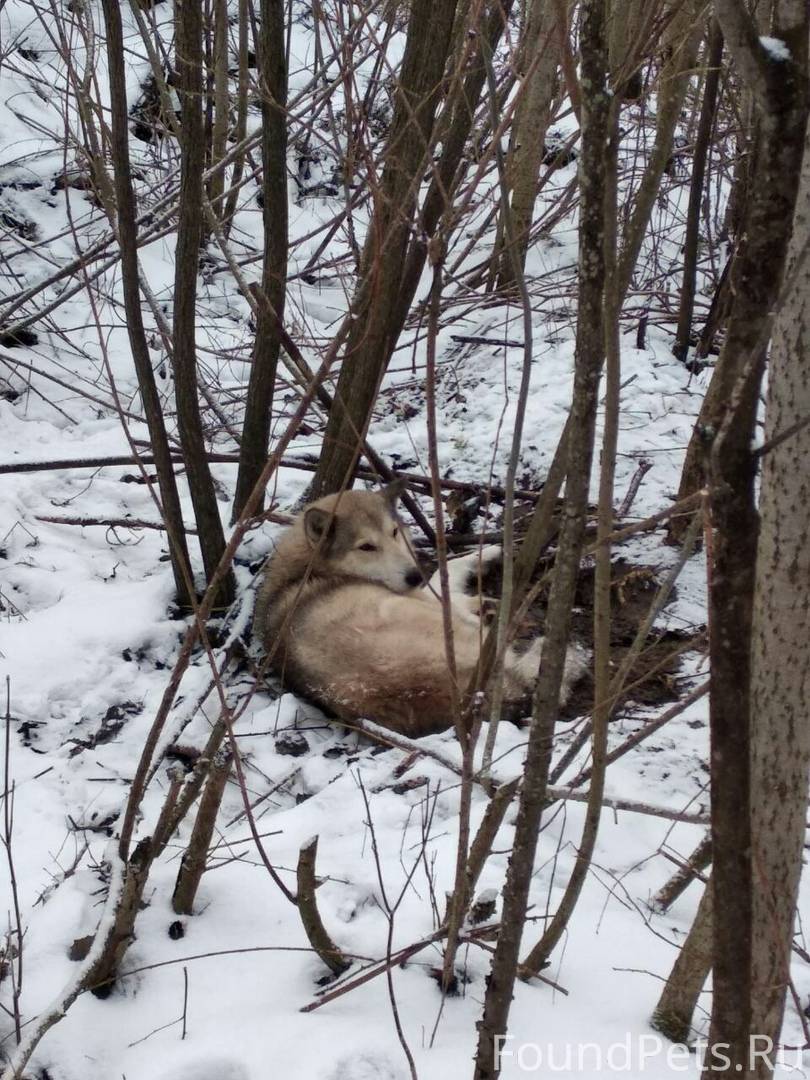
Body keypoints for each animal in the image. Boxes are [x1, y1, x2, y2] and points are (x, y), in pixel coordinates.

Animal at [250, 483, 587, 743]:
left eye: (394, 532)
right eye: (366, 547)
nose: (413, 575)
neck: (306, 570)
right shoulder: (424, 597)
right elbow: (446, 576)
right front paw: (485, 560)